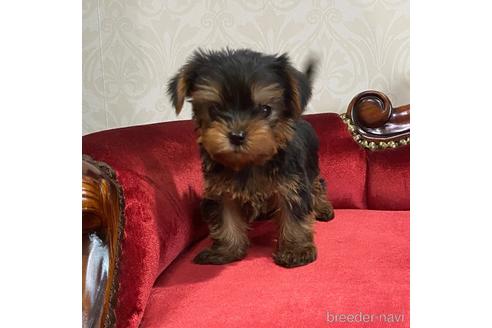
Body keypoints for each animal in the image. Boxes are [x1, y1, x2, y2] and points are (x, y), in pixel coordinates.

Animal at [167, 49, 332, 270]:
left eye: (265, 109)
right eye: (214, 109)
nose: (236, 136)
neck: (249, 162)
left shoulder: (292, 185)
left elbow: (294, 216)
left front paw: (296, 250)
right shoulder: (220, 190)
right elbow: (225, 218)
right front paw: (226, 250)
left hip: (310, 164)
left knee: (317, 184)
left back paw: (323, 208)